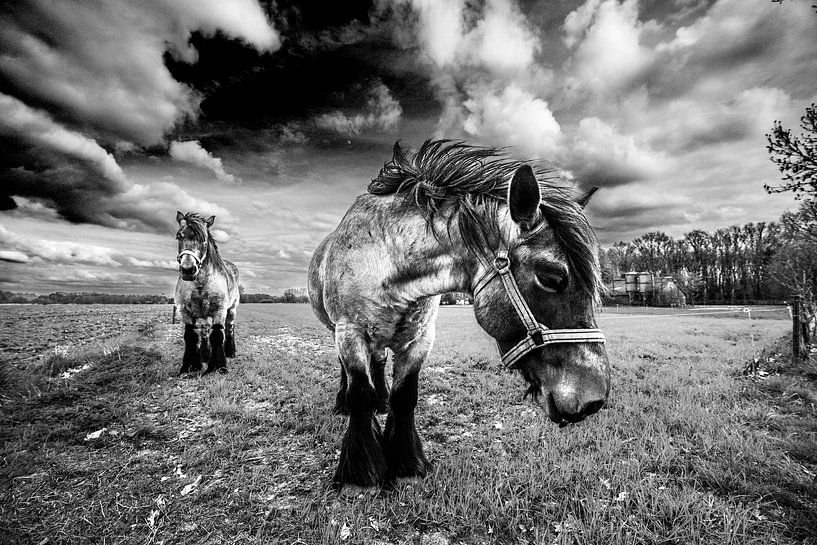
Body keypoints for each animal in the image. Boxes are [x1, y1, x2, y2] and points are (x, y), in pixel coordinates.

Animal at [171, 211, 237, 374]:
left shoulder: (219, 311)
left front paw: (218, 367)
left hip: (232, 310)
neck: (200, 284)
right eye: (179, 236)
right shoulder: (185, 312)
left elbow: (218, 336)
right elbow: (191, 336)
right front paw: (191, 366)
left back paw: (230, 352)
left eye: (204, 239)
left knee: (230, 328)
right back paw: (205, 356)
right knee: (205, 332)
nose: (188, 269)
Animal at [310, 138, 608, 486]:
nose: (594, 400)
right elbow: (360, 395)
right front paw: (361, 471)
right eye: (551, 277)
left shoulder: (420, 340)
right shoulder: (350, 333)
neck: (387, 258)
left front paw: (407, 463)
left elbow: (404, 397)